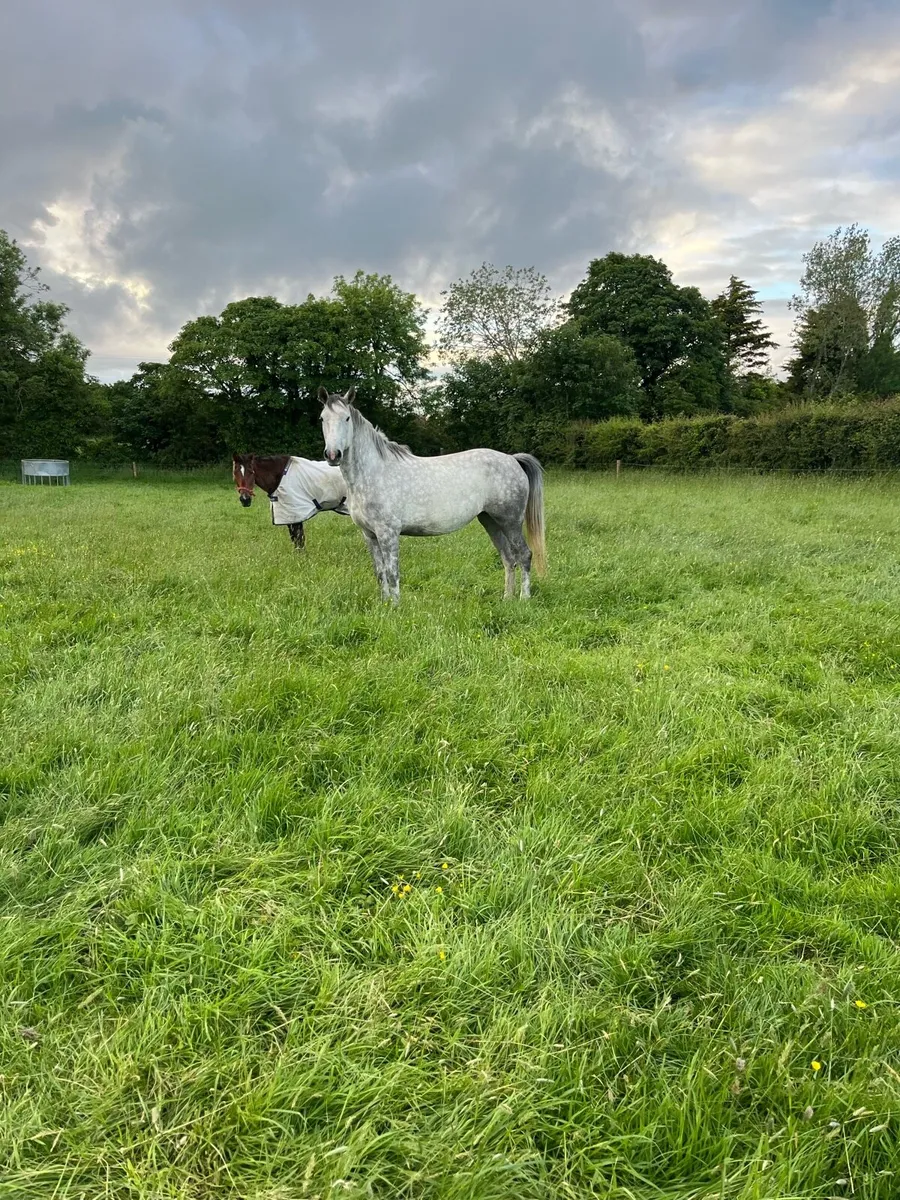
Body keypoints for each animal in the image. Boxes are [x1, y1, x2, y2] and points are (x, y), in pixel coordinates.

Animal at [318, 387, 546, 604]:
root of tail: (512, 459)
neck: (374, 472)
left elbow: (393, 573)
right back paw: (507, 599)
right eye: (322, 418)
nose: (333, 455)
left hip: (510, 522)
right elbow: (380, 573)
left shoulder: (388, 533)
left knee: (524, 555)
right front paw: (384, 605)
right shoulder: (369, 535)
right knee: (508, 558)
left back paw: (524, 599)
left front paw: (395, 607)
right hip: (490, 521)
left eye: (347, 418)